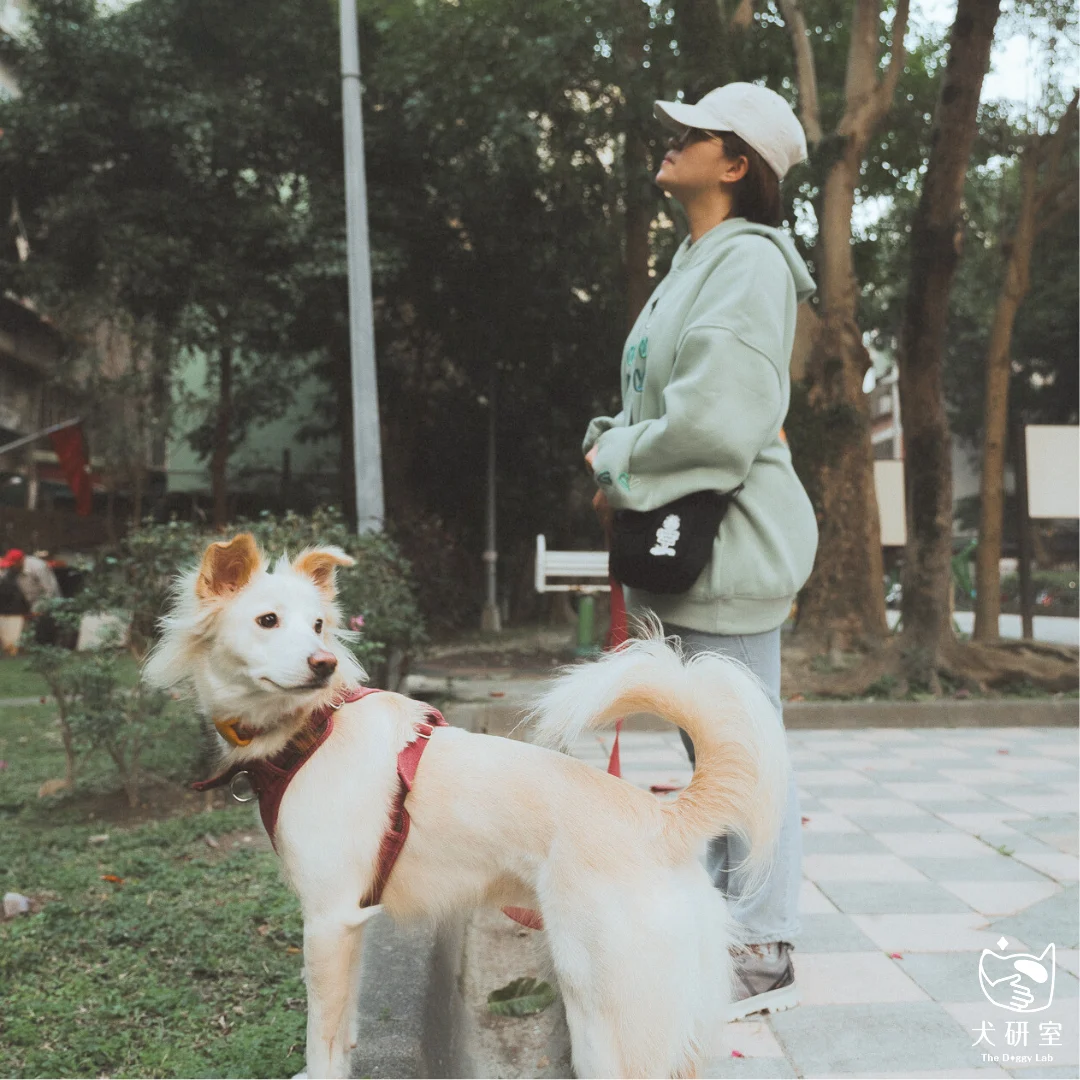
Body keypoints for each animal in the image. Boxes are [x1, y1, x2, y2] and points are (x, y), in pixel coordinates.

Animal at [144, 533, 789, 1079]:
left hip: (603, 1015)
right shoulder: (351, 921)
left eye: (320, 626)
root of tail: (663, 817)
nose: (322, 664)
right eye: (268, 620)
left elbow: (320, 1038)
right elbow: (346, 1022)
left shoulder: (326, 920)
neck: (311, 731)